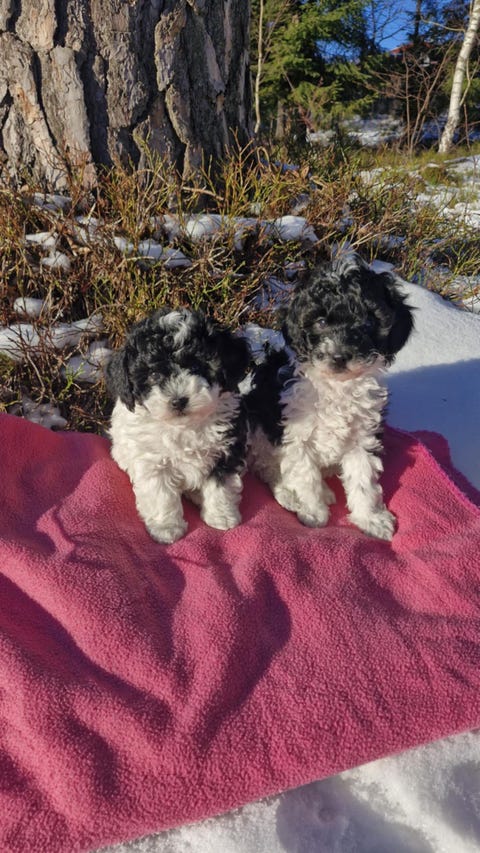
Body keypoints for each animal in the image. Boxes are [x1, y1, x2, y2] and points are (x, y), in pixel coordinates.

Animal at [106, 307, 250, 544]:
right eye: (154, 374)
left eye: (198, 367)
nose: (178, 400)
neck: (184, 426)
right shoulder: (153, 461)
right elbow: (161, 494)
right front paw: (166, 528)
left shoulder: (227, 449)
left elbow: (221, 485)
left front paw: (222, 516)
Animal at [244, 254, 414, 540]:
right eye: (321, 322)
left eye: (368, 323)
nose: (339, 356)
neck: (337, 387)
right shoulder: (295, 436)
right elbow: (305, 476)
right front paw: (313, 513)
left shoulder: (363, 437)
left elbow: (364, 480)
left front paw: (371, 519)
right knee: (268, 467)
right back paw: (292, 494)